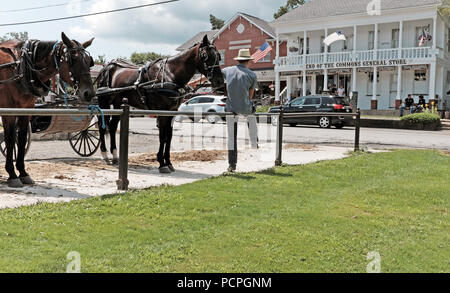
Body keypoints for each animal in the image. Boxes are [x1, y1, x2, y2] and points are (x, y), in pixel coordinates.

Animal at [0, 32, 96, 187]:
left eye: (89, 61)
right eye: (73, 58)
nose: (89, 93)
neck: (19, 67)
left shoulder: (26, 109)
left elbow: (21, 139)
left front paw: (23, 173)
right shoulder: (8, 110)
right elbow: (9, 139)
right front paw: (12, 174)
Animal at [96, 35, 225, 172]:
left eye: (218, 56)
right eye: (205, 55)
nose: (219, 81)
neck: (170, 74)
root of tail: (107, 67)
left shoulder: (172, 111)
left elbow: (169, 135)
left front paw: (168, 162)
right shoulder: (162, 111)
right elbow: (162, 136)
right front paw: (162, 163)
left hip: (118, 103)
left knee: (112, 126)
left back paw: (115, 155)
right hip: (104, 101)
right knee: (102, 126)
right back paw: (105, 155)